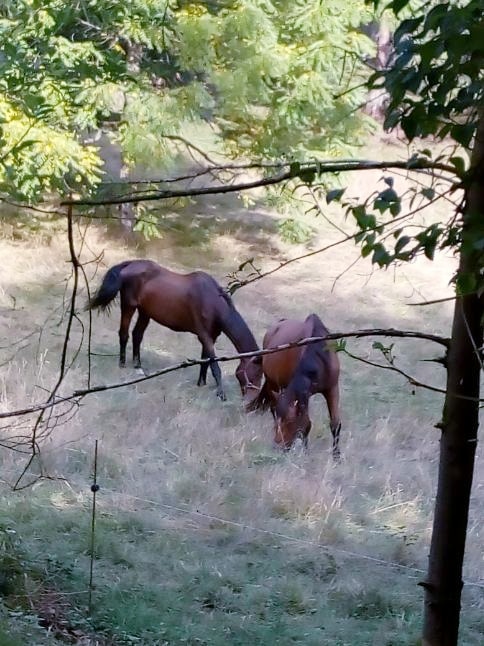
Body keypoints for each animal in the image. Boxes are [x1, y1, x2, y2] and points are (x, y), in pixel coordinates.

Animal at [87, 260, 260, 402]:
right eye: (255, 374)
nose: (253, 401)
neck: (213, 301)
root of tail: (129, 264)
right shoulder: (205, 336)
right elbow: (214, 365)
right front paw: (221, 394)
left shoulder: (211, 337)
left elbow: (205, 362)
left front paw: (201, 383)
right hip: (129, 306)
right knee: (124, 334)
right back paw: (122, 364)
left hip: (145, 312)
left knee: (137, 335)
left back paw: (138, 365)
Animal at [248, 316, 342, 460]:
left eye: (289, 422)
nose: (277, 447)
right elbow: (306, 424)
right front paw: (305, 452)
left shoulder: (332, 388)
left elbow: (334, 424)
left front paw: (336, 457)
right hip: (272, 383)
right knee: (273, 407)